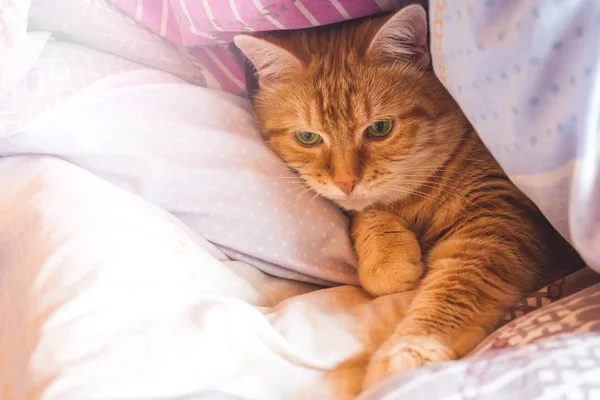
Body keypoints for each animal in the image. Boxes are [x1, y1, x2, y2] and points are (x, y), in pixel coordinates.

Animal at [233, 3, 580, 390]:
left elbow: (455, 290)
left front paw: (411, 353)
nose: (346, 181)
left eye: (380, 129)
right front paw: (387, 259)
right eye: (308, 137)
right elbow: (368, 213)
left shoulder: (496, 223)